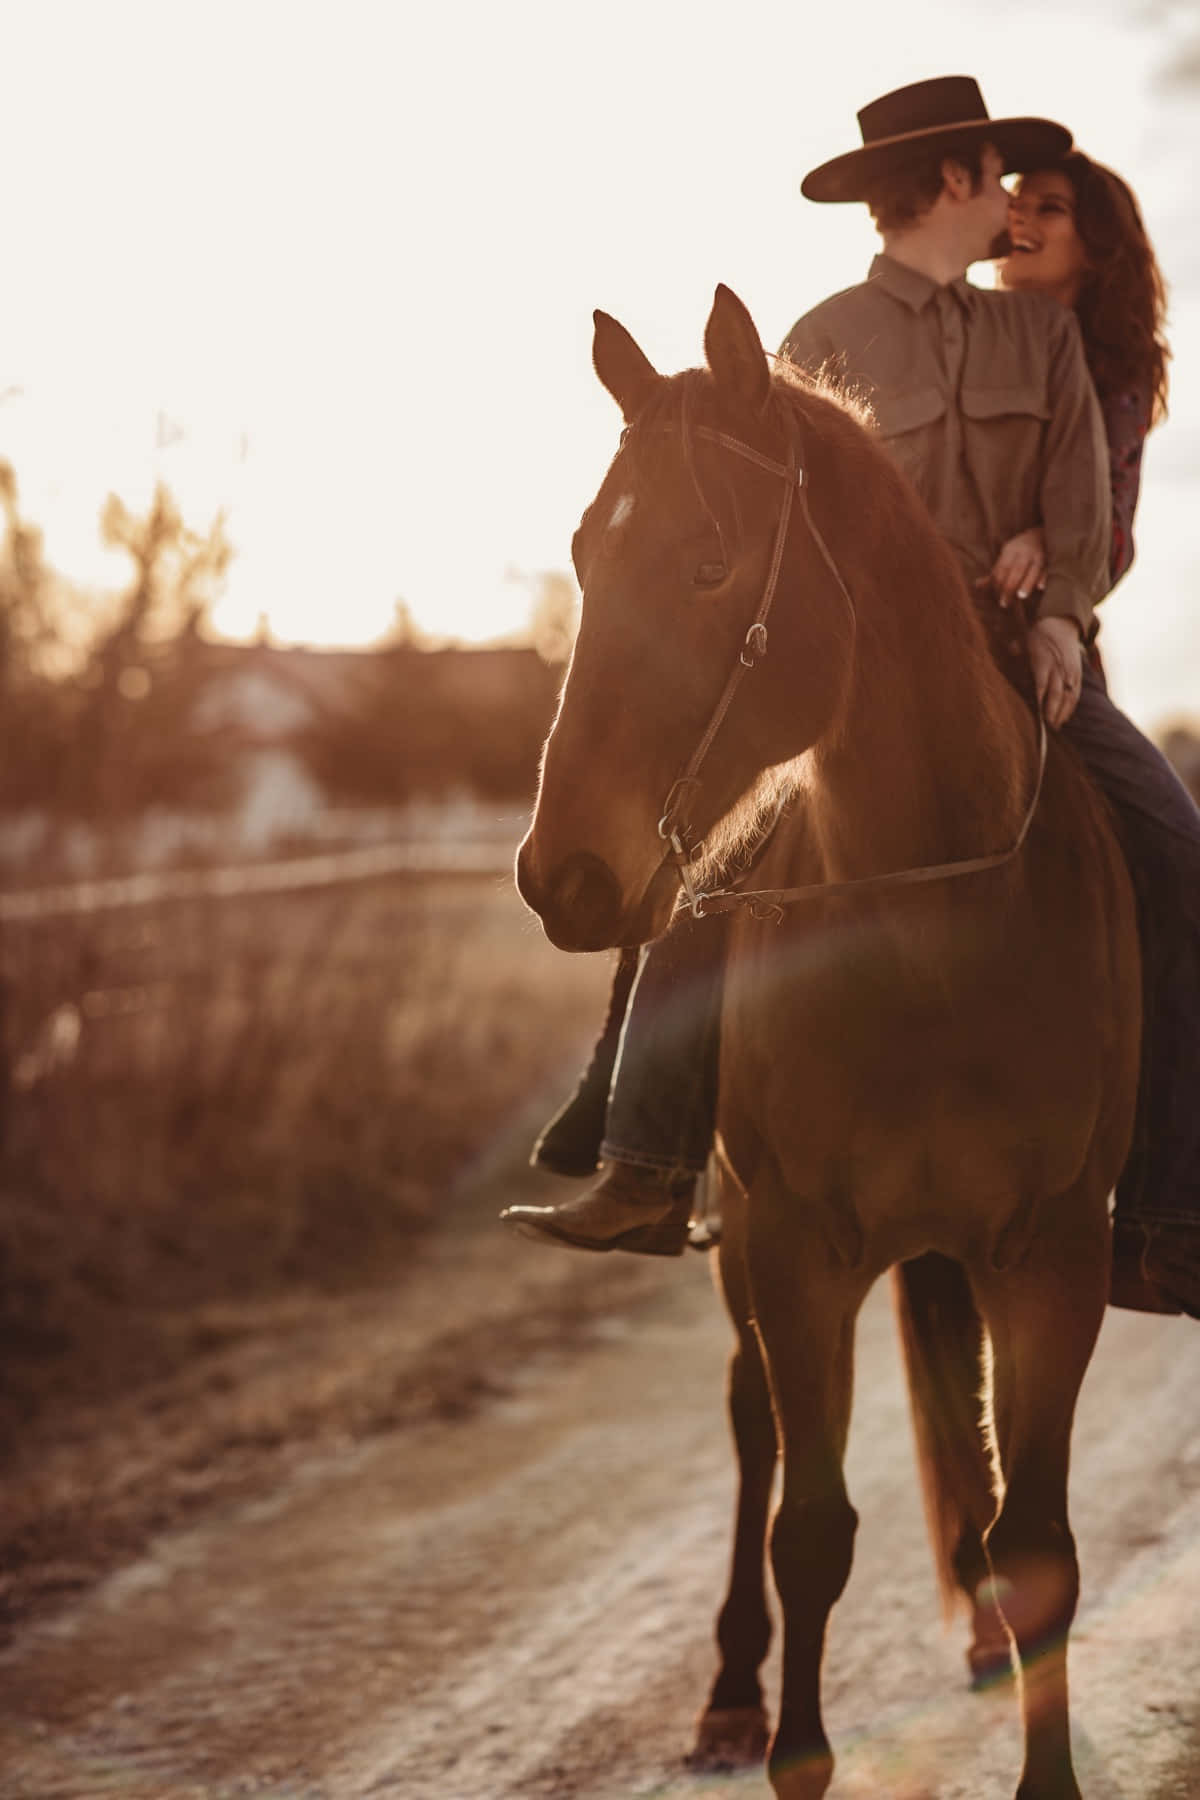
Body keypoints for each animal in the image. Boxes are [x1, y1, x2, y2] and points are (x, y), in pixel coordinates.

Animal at [515, 285, 1139, 1800]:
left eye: (708, 565)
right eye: (586, 553)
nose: (560, 875)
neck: (935, 933)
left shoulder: (1053, 1256)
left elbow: (1039, 1544)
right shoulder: (795, 1251)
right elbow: (810, 1532)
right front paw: (786, 1739)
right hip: (745, 1246)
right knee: (753, 1428)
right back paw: (734, 1694)